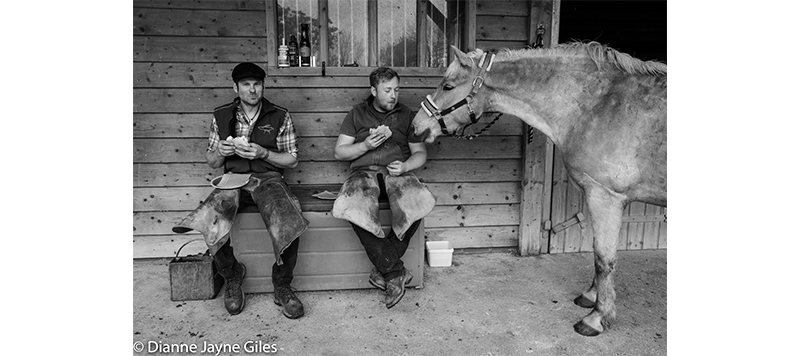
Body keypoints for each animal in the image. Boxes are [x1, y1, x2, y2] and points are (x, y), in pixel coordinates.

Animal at [410, 41, 664, 336]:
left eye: (448, 86)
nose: (416, 126)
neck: (595, 107)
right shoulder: (598, 196)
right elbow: (598, 252)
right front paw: (591, 296)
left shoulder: (606, 196)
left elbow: (604, 258)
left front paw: (597, 317)